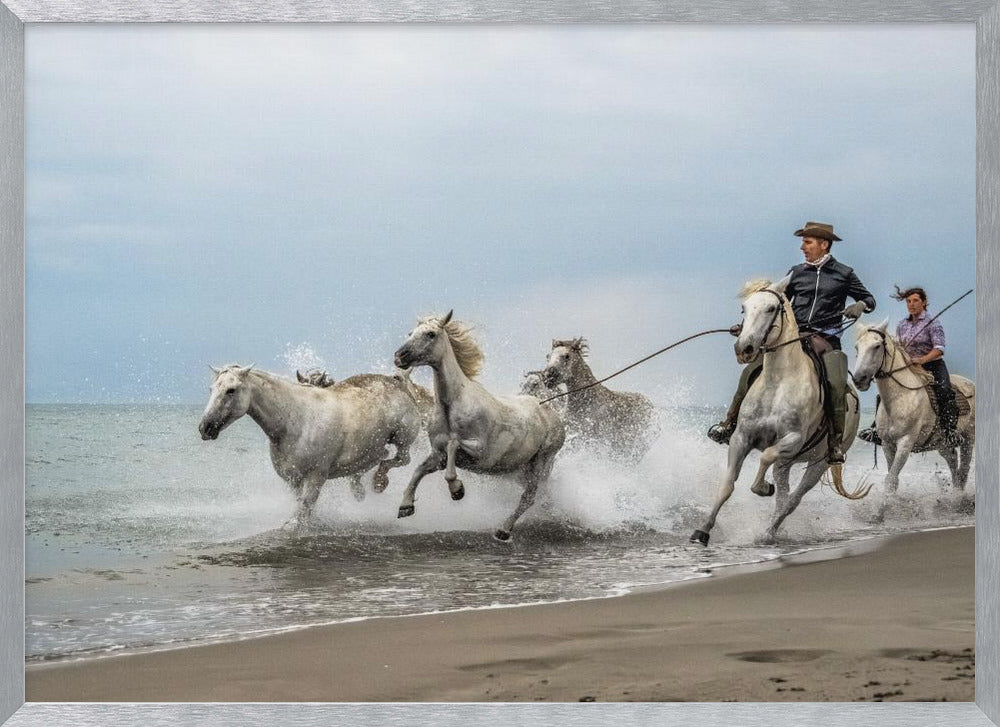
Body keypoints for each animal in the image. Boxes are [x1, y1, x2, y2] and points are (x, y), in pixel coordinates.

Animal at [199, 365, 422, 530]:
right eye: (211, 389)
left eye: (231, 390)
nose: (205, 428)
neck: (296, 421)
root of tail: (397, 384)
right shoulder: (293, 479)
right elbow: (302, 506)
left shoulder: (316, 476)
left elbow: (305, 508)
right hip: (372, 446)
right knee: (376, 458)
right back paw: (360, 488)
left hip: (403, 438)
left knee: (401, 459)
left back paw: (379, 482)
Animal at [393, 311, 566, 541]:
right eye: (411, 333)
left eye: (431, 334)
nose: (399, 357)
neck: (452, 406)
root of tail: (552, 413)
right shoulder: (437, 455)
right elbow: (418, 470)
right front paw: (405, 506)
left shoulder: (479, 451)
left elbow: (453, 446)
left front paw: (457, 490)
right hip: (520, 470)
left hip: (541, 461)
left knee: (529, 497)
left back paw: (503, 530)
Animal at [852, 320, 975, 496]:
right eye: (857, 347)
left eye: (877, 346)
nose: (859, 379)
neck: (901, 397)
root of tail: (970, 384)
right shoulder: (887, 443)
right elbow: (892, 479)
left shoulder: (906, 442)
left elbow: (891, 479)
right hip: (942, 444)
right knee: (954, 464)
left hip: (968, 438)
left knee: (964, 468)